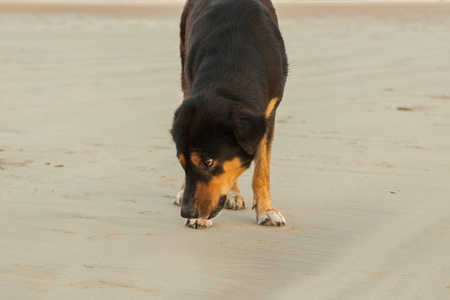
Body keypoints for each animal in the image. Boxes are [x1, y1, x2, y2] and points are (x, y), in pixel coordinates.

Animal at [171, 0, 286, 227]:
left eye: (207, 162)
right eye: (182, 163)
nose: (187, 213)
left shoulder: (267, 116)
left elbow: (262, 169)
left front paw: (266, 209)